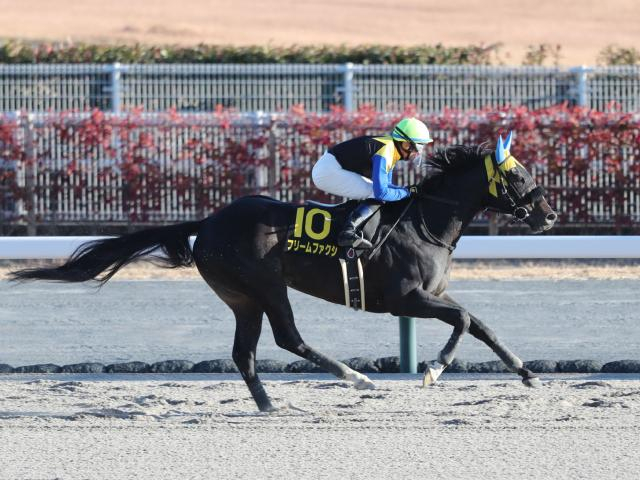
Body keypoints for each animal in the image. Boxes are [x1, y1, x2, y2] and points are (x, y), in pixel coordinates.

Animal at [12, 133, 556, 410]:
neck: (425, 222)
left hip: (241, 297)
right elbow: (464, 321)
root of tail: (208, 221)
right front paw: (434, 369)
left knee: (245, 352)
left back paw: (270, 405)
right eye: (517, 175)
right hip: (267, 285)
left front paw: (528, 373)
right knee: (287, 338)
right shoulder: (406, 299)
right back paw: (357, 379)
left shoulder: (430, 297)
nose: (549, 216)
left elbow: (480, 324)